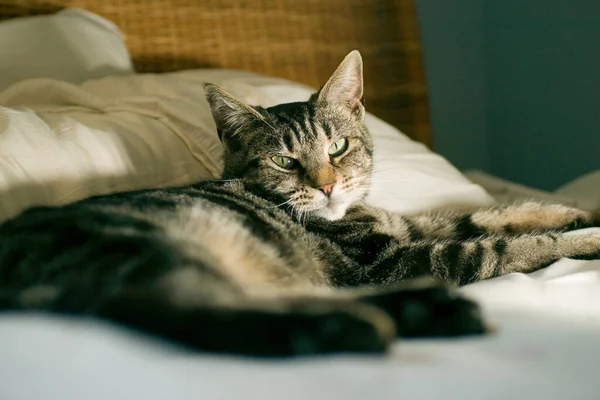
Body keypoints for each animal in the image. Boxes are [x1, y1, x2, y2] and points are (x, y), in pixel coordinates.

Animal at [1, 50, 600, 356]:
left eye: (337, 147)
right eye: (285, 162)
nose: (329, 184)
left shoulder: (410, 228)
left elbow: (490, 214)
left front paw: (580, 212)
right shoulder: (397, 260)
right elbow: (507, 246)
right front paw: (585, 237)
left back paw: (415, 311)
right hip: (145, 246)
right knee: (182, 311)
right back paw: (359, 327)